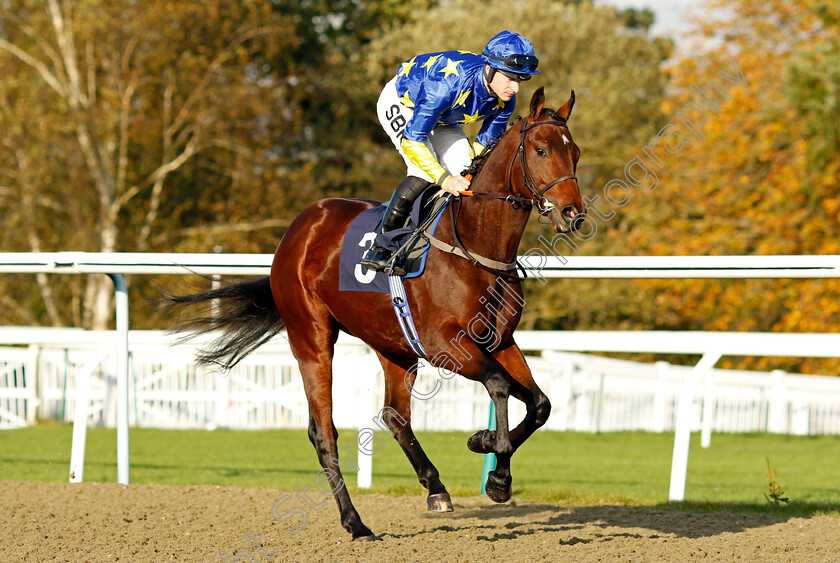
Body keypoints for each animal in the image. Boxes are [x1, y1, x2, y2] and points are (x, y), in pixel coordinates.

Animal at [164, 88, 584, 540]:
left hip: (392, 344)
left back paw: (436, 488)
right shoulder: (444, 345)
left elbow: (539, 404)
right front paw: (494, 461)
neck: (474, 247)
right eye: (541, 149)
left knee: (395, 416)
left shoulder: (500, 340)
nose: (573, 214)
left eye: (575, 152)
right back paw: (355, 522)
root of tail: (298, 228)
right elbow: (500, 385)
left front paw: (488, 457)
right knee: (323, 432)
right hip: (311, 338)